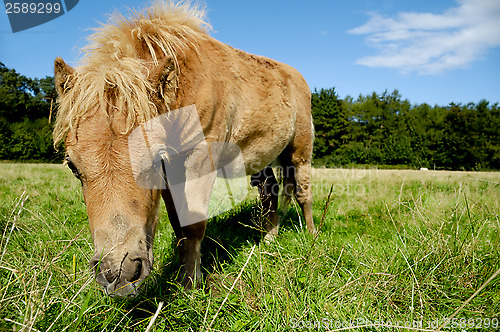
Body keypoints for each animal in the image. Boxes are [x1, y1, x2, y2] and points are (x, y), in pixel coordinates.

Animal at [53, 1, 312, 296]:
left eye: (152, 161)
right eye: (73, 167)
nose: (119, 274)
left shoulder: (200, 159)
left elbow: (194, 223)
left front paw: (190, 284)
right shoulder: (171, 171)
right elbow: (178, 222)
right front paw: (180, 273)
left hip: (300, 151)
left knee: (302, 192)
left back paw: (312, 236)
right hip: (264, 158)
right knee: (271, 191)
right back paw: (269, 239)